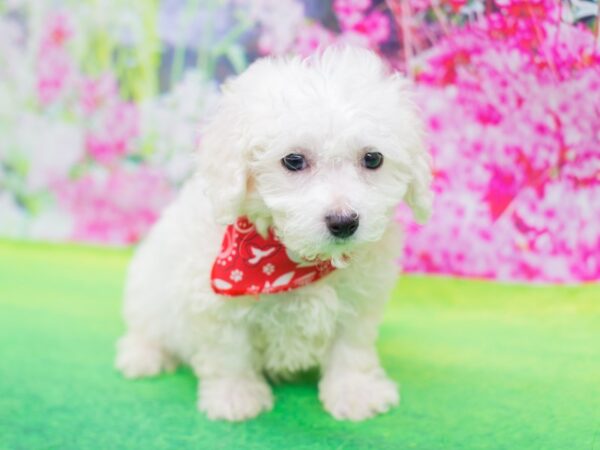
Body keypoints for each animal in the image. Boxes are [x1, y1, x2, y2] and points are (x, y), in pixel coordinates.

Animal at [113, 46, 432, 422]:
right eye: (293, 160)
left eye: (373, 159)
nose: (344, 221)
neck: (289, 263)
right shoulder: (216, 300)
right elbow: (230, 351)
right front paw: (235, 396)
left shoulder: (359, 300)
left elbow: (351, 347)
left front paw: (355, 391)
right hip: (149, 287)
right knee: (147, 326)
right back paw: (143, 355)